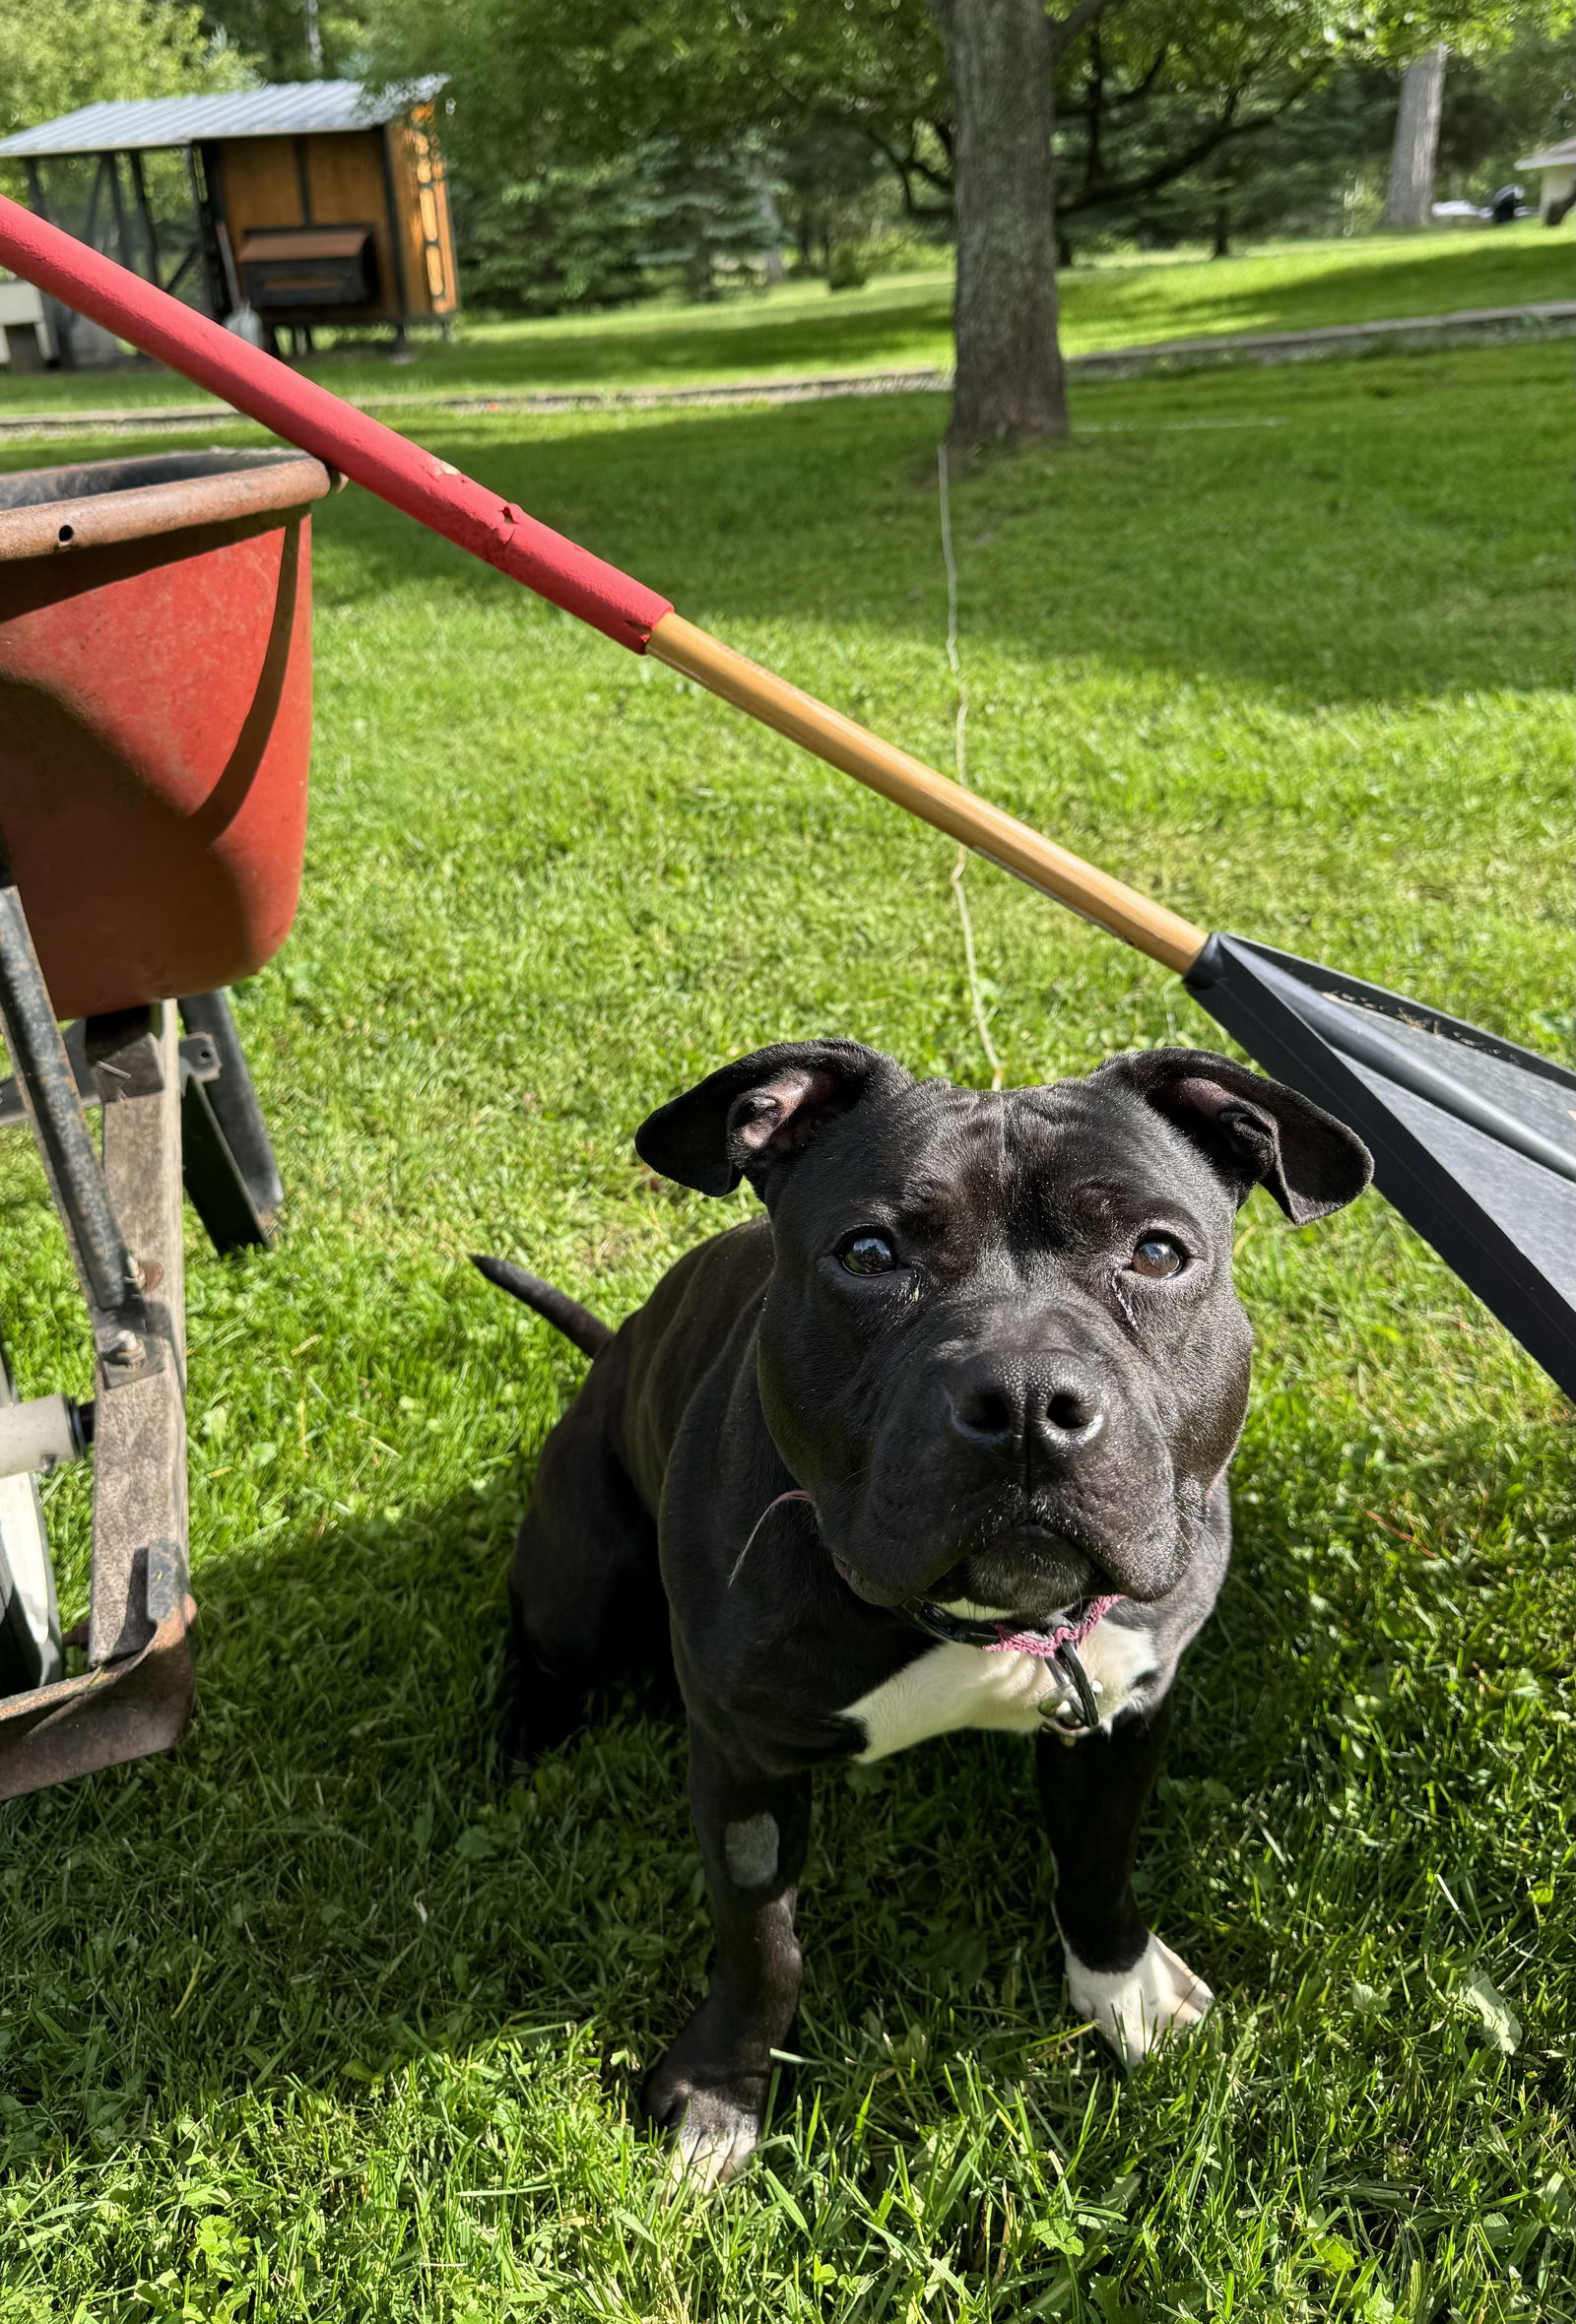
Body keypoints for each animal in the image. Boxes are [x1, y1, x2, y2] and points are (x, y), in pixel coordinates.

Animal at [479, 1046, 1366, 2184]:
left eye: (1158, 1252)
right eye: (869, 1252)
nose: (1027, 1401)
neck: (982, 1621)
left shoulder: (1124, 1714)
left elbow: (1097, 1862)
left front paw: (1120, 1987)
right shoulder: (742, 1762)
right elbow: (763, 1944)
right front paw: (722, 2092)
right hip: (580, 1584)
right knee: (543, 1646)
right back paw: (522, 1742)